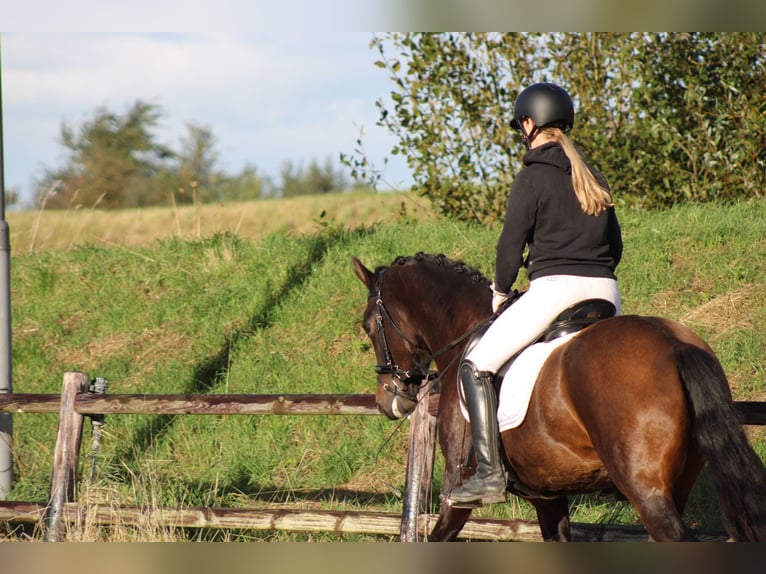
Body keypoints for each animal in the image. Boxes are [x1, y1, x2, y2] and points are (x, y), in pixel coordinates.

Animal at [352, 253, 766, 544]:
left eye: (369, 326)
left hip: (647, 491)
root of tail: (673, 344)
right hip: (675, 485)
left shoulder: (457, 495)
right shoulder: (548, 496)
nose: (389, 401)